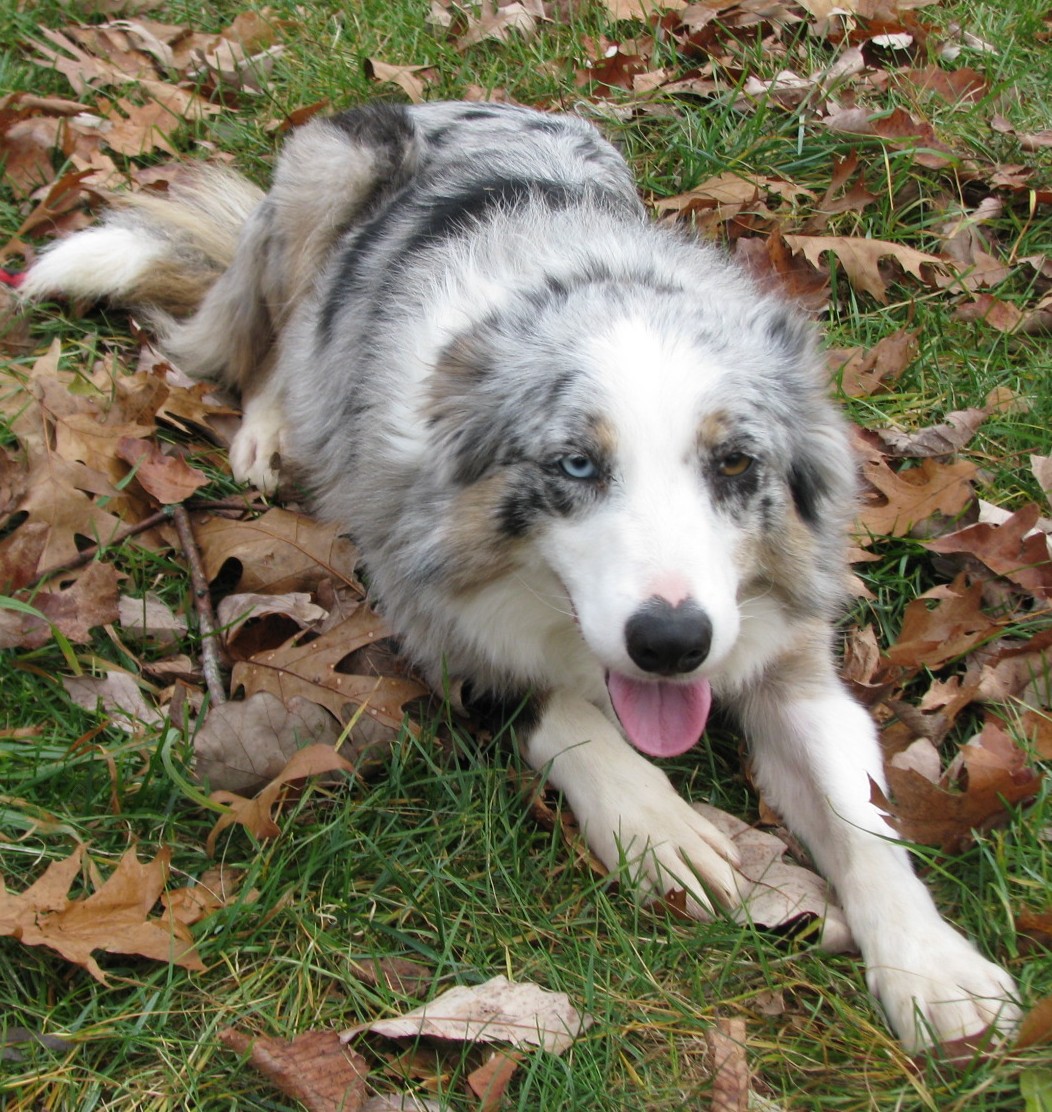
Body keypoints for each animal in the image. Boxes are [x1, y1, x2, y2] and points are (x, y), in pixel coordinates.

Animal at [20, 100, 1014, 1045]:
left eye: (735, 463)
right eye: (575, 464)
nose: (671, 643)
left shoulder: (785, 656)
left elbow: (863, 817)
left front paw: (936, 968)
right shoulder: (420, 604)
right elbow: (556, 708)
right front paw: (656, 822)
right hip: (324, 181)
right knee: (279, 339)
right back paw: (271, 428)